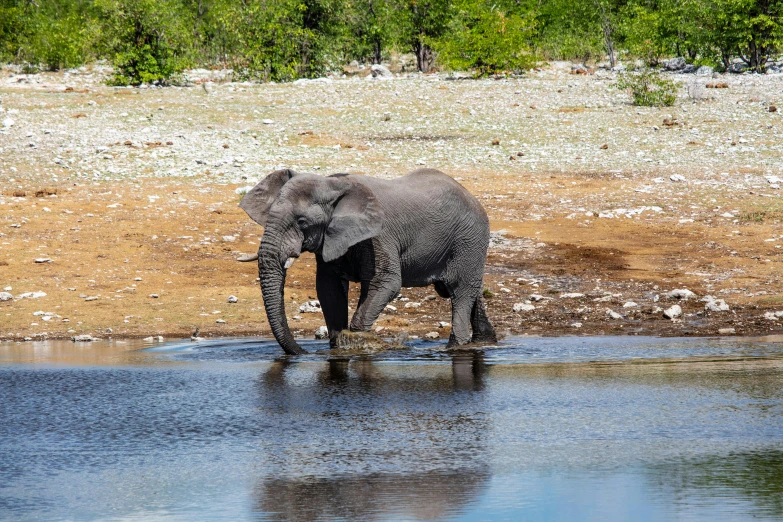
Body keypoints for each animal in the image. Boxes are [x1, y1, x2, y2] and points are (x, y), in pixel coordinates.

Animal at [239, 167, 496, 354]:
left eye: (302, 222)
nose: (304, 353)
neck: (331, 185)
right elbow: (328, 288)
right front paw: (338, 346)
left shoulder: (379, 236)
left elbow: (386, 283)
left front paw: (357, 344)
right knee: (472, 291)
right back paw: (485, 341)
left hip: (469, 240)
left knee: (460, 291)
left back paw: (455, 347)